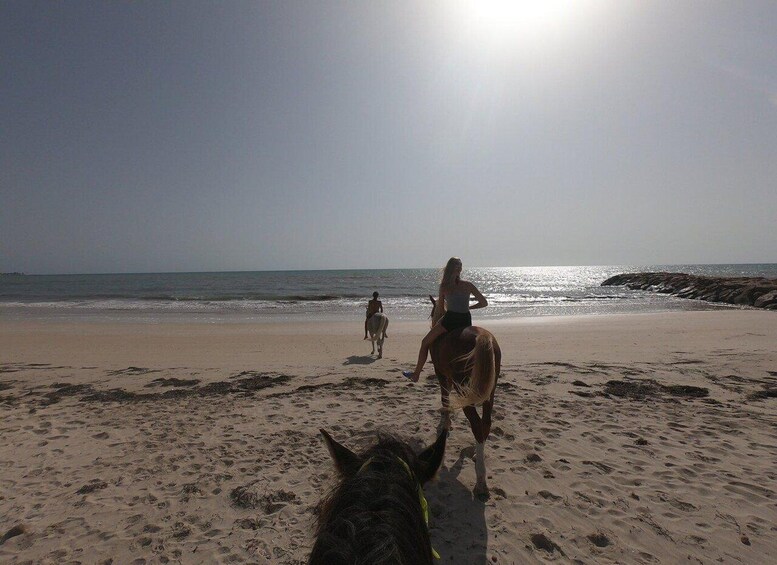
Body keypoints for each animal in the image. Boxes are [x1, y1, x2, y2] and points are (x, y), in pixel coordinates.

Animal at [428, 296, 500, 494]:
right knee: (485, 423)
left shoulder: (440, 374)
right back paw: (476, 452)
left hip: (464, 388)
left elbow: (444, 396)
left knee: (476, 423)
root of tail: (482, 336)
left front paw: (446, 421)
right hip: (489, 391)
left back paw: (481, 481)